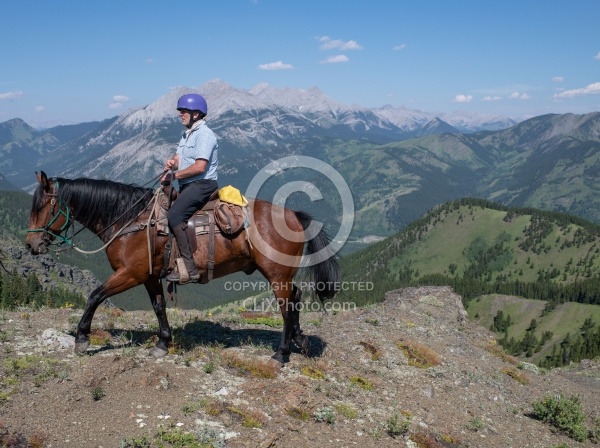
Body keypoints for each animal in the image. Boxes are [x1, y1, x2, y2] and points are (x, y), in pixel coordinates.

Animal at [25, 170, 340, 362]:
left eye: (41, 207)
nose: (31, 245)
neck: (129, 220)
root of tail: (293, 214)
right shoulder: (149, 276)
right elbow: (159, 307)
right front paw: (163, 343)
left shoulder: (130, 274)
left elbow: (95, 296)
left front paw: (82, 338)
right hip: (281, 274)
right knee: (295, 298)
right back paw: (300, 342)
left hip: (276, 274)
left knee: (287, 305)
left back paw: (282, 353)